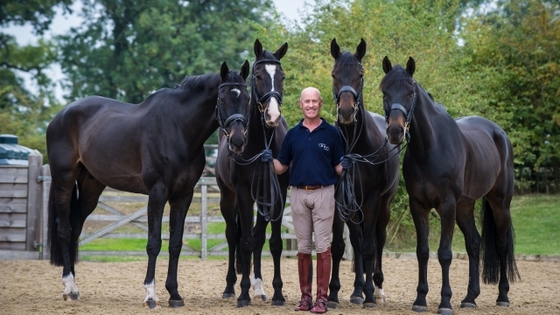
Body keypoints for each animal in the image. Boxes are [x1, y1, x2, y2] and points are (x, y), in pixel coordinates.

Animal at [46, 61, 252, 308]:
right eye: (222, 98)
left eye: (248, 98)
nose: (238, 141)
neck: (178, 129)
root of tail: (60, 116)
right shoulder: (157, 192)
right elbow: (154, 243)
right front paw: (151, 295)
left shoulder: (183, 196)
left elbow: (175, 243)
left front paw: (174, 294)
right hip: (64, 181)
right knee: (64, 231)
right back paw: (69, 287)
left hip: (90, 189)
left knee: (76, 228)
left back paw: (75, 285)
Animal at [214, 40, 288, 308]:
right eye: (258, 76)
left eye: (282, 76)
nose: (272, 115)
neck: (261, 143)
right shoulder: (244, 194)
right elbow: (244, 242)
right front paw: (243, 293)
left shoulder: (278, 194)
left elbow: (273, 243)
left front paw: (277, 293)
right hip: (228, 197)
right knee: (233, 235)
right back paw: (230, 288)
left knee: (257, 236)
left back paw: (260, 287)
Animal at [326, 39, 400, 308]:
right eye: (334, 74)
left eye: (360, 74)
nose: (347, 112)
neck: (354, 147)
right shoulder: (338, 199)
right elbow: (339, 247)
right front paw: (333, 294)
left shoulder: (372, 199)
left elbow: (369, 247)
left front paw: (370, 294)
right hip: (352, 207)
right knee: (357, 242)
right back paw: (357, 290)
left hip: (384, 205)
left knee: (377, 241)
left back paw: (375, 290)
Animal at [380, 57, 520, 315]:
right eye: (385, 91)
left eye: (410, 92)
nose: (395, 131)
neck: (430, 148)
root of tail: (499, 133)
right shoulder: (419, 206)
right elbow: (423, 252)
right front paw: (420, 299)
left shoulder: (446, 206)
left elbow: (444, 253)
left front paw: (445, 302)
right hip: (464, 207)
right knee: (474, 243)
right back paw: (470, 297)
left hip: (499, 203)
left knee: (502, 244)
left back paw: (503, 296)